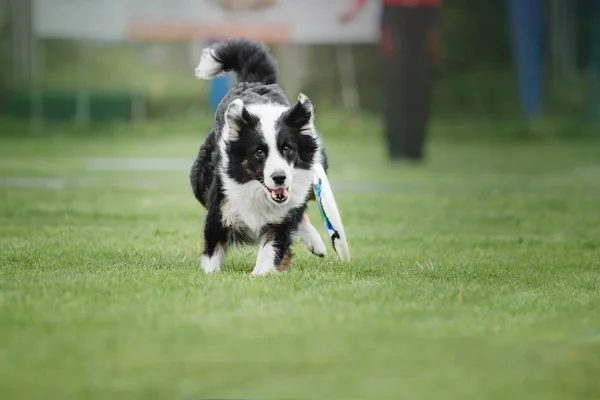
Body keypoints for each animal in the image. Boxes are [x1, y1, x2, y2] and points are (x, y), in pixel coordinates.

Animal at [191, 39, 328, 276]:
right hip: (199, 178)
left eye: (287, 148)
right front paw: (210, 275)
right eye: (259, 152)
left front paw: (259, 275)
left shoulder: (279, 222)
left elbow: (270, 249)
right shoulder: (218, 213)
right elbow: (211, 254)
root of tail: (254, 81)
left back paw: (316, 242)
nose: (280, 177)